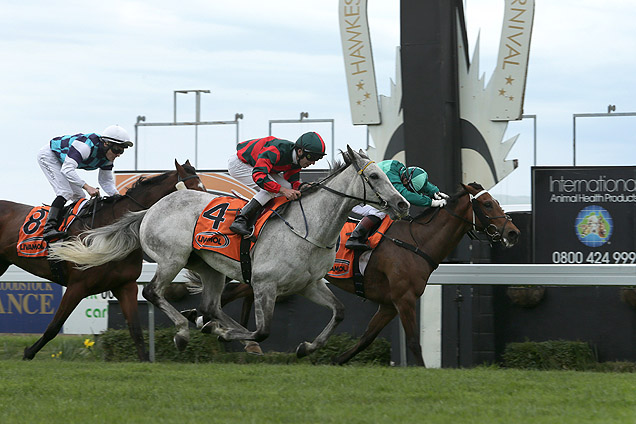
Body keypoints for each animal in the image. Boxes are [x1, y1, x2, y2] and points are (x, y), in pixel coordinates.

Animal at [0, 160, 205, 362]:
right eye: (194, 189)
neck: (110, 232)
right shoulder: (77, 286)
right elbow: (54, 326)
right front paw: (28, 353)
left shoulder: (126, 285)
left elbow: (136, 330)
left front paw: (145, 360)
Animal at [48, 147, 408, 356]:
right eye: (374, 175)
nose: (402, 204)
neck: (309, 228)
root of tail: (149, 210)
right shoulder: (264, 284)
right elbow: (263, 330)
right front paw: (226, 335)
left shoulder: (309, 284)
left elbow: (340, 312)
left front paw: (308, 347)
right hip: (172, 258)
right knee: (152, 292)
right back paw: (185, 331)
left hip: (209, 267)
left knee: (211, 305)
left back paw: (209, 325)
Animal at [206, 182, 520, 364]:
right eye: (488, 203)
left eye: (496, 201)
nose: (513, 233)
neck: (416, 242)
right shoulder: (404, 299)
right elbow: (414, 342)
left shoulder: (389, 303)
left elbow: (367, 338)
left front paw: (334, 359)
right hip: (267, 278)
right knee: (228, 294)